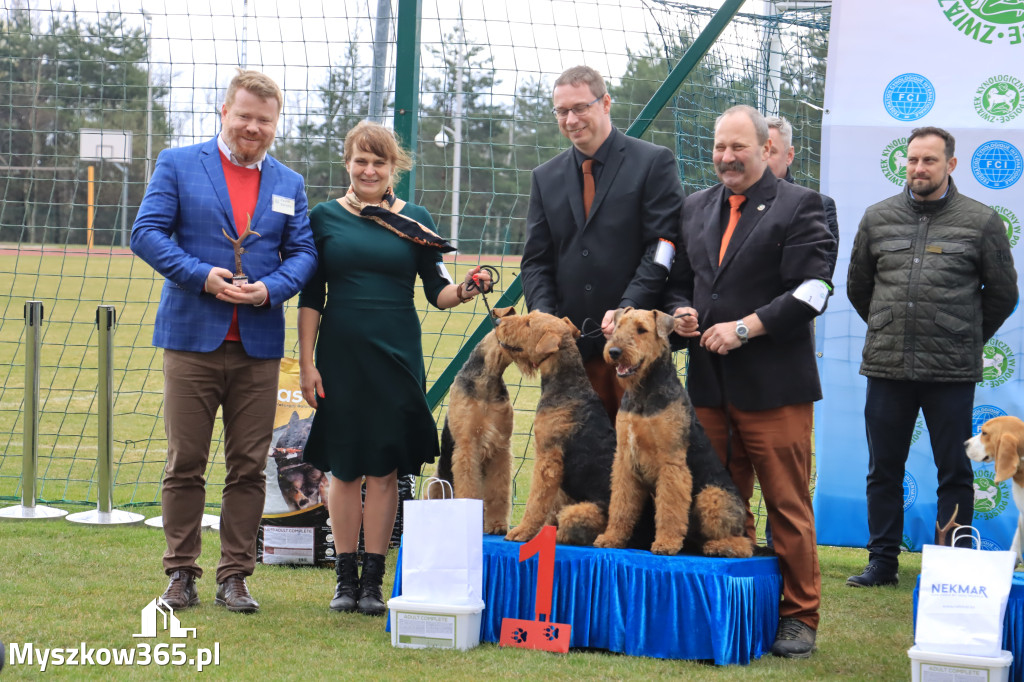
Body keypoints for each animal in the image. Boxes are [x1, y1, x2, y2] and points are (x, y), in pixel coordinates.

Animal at [432, 313, 516, 532]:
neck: (488, 380)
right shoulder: (467, 445)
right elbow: (469, 486)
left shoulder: (500, 447)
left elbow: (498, 490)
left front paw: (497, 525)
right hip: (437, 481)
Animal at [491, 307, 651, 548]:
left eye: (528, 323)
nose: (498, 321)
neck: (568, 386)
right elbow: (550, 507)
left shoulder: (548, 460)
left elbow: (536, 502)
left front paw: (521, 532)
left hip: (582, 510)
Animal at [593, 307, 753, 557]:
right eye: (618, 326)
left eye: (642, 330)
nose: (614, 352)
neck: (643, 392)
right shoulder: (625, 460)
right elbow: (620, 504)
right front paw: (611, 538)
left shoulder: (671, 463)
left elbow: (669, 508)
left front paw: (665, 543)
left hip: (711, 496)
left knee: (743, 544)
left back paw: (717, 547)